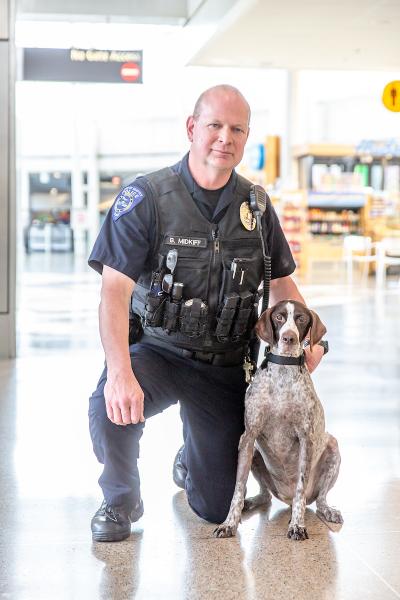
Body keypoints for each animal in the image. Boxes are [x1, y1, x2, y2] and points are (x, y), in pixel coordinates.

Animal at [214, 300, 342, 540]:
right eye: (279, 317)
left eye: (301, 318)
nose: (289, 338)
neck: (283, 370)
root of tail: (286, 497)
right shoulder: (248, 438)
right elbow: (238, 487)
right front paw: (229, 523)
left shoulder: (306, 439)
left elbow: (301, 489)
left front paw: (297, 525)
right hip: (256, 453)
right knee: (266, 496)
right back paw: (251, 502)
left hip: (332, 448)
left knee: (318, 499)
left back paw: (326, 510)